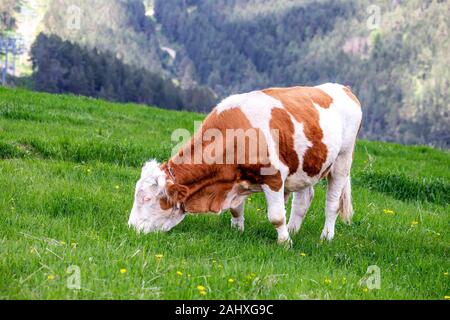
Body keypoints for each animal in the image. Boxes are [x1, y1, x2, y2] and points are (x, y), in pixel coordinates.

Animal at [126, 84, 362, 246]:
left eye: (147, 198)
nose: (131, 228)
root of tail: (343, 88)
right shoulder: (236, 180)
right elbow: (236, 208)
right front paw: (237, 231)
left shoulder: (274, 176)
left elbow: (276, 216)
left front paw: (285, 243)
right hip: (305, 166)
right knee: (303, 200)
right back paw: (294, 229)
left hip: (343, 159)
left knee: (332, 204)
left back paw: (326, 237)